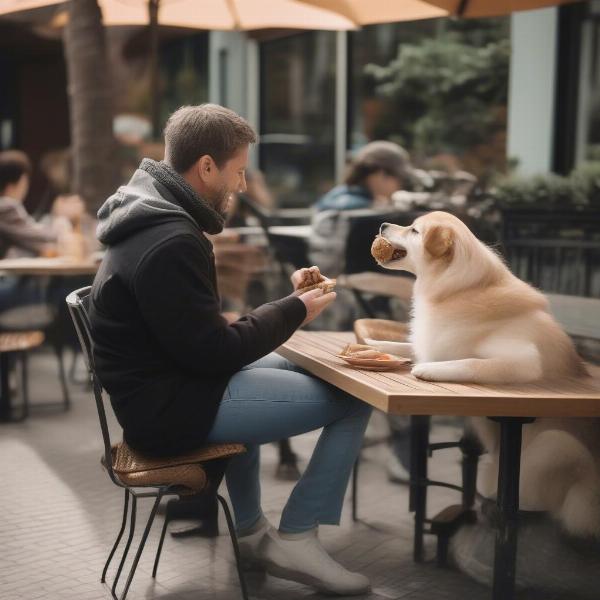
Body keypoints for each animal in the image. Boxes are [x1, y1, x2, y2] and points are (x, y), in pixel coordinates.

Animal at [368, 212, 600, 540]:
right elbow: (403, 346)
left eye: (414, 230)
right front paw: (370, 344)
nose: (382, 225)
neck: (456, 289)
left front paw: (430, 369)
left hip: (557, 446)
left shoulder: (524, 361)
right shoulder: (431, 342)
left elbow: (469, 362)